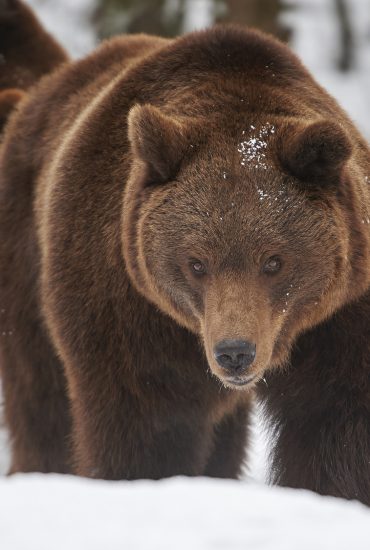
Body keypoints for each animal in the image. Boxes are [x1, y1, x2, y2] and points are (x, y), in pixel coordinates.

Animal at [0, 1, 370, 508]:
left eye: (274, 261)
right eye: (196, 263)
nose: (235, 352)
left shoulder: (339, 316)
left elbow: (334, 423)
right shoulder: (128, 306)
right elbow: (148, 418)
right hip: (25, 264)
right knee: (41, 397)